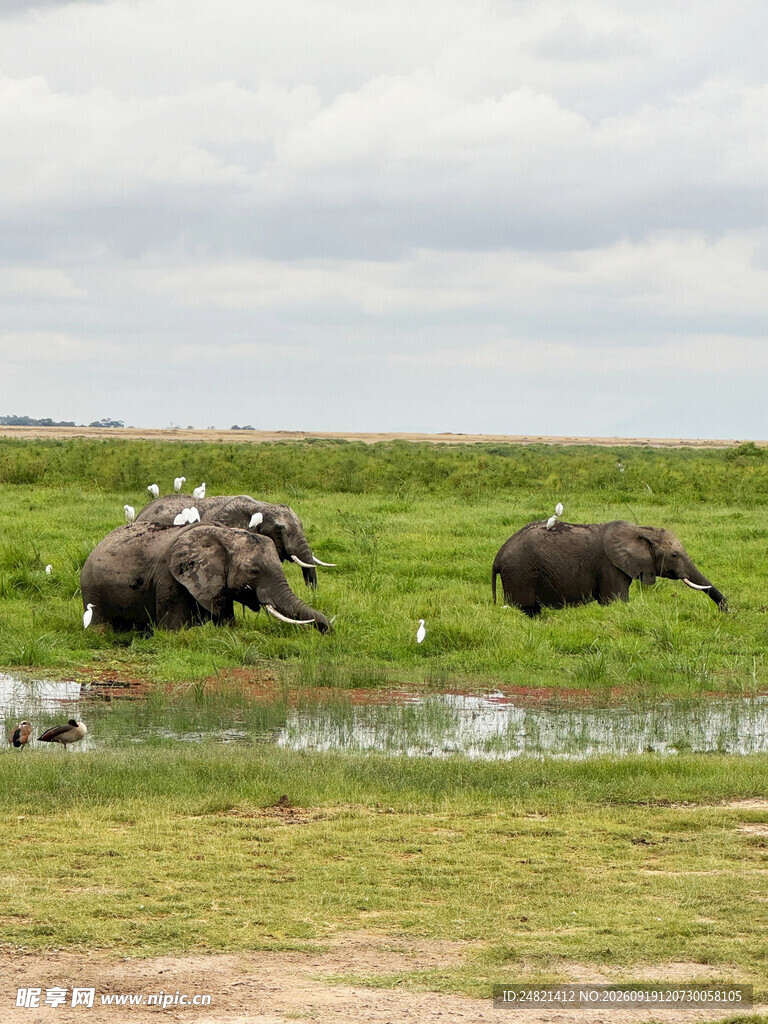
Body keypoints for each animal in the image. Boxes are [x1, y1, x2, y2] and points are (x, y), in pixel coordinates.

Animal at [81, 522, 331, 632]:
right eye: (254, 572)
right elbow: (173, 631)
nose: (327, 631)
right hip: (92, 588)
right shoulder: (170, 579)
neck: (224, 535)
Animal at [492, 520, 727, 616]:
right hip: (521, 573)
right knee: (524, 608)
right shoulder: (610, 567)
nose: (724, 611)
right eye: (674, 555)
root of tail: (498, 558)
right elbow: (615, 601)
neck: (641, 530)